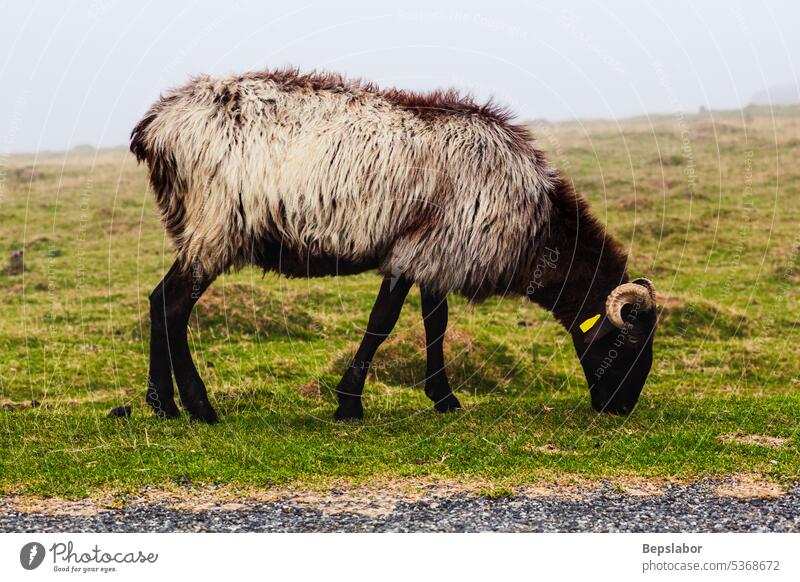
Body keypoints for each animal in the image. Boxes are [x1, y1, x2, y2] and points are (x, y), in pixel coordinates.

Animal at [131, 68, 656, 424]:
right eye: (629, 341)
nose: (621, 408)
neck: (535, 230)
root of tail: (157, 125)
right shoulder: (418, 252)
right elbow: (383, 323)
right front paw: (349, 404)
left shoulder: (438, 255)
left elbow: (434, 325)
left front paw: (443, 399)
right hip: (215, 225)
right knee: (172, 304)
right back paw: (197, 406)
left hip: (205, 229)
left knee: (160, 302)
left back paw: (164, 405)